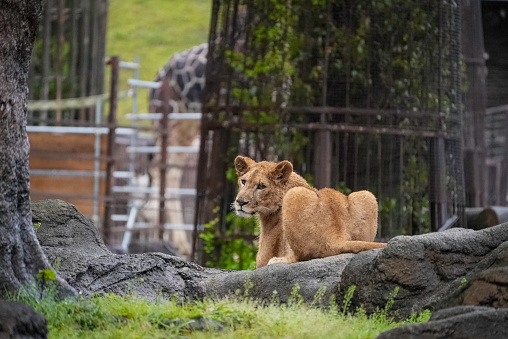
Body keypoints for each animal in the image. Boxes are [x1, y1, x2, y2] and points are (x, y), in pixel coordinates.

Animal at [233, 155, 384, 270]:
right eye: (243, 181)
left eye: (261, 186)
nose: (240, 202)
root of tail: (336, 237)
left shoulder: (263, 257)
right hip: (367, 195)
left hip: (294, 195)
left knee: (302, 257)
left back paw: (277, 261)